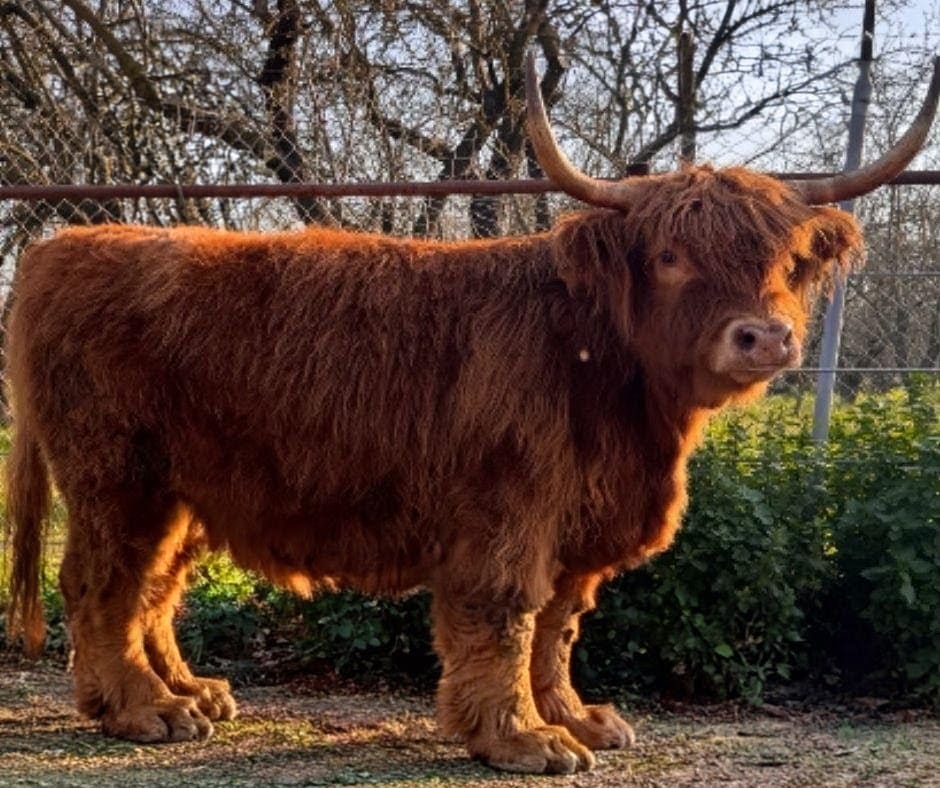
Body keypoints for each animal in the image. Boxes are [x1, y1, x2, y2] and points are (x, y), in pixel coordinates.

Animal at [5, 54, 937, 774]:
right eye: (671, 255)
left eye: (784, 259)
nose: (764, 336)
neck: (608, 378)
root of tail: (64, 246)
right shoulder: (509, 505)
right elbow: (506, 612)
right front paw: (521, 738)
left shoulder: (579, 515)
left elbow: (559, 622)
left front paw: (575, 715)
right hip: (117, 474)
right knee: (103, 580)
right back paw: (141, 710)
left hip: (185, 490)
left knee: (154, 586)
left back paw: (188, 691)